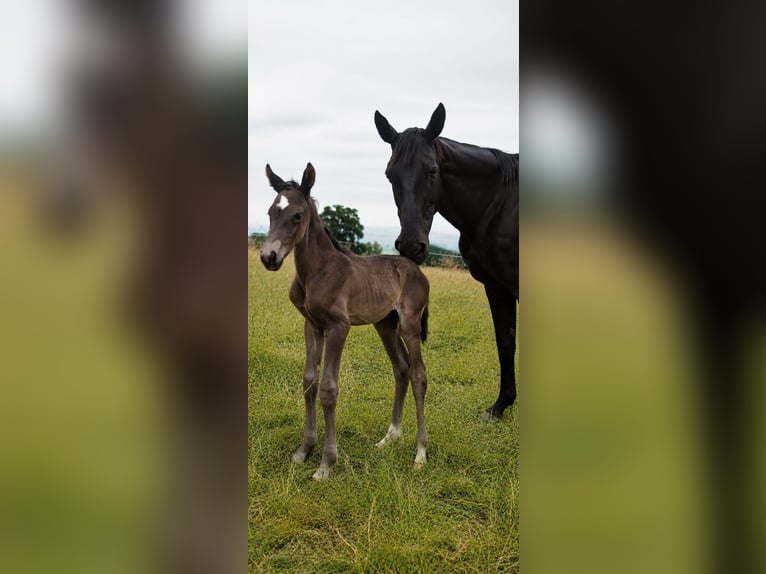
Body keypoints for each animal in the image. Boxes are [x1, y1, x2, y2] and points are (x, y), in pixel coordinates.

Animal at [260, 163, 431, 480]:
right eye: (270, 212)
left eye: (297, 215)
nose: (269, 257)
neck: (317, 271)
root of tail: (417, 270)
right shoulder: (312, 325)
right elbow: (309, 382)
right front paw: (303, 451)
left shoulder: (339, 327)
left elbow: (329, 388)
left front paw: (326, 464)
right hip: (385, 325)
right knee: (401, 369)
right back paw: (390, 437)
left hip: (409, 324)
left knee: (418, 375)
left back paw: (420, 453)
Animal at [374, 103, 519, 419]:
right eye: (390, 175)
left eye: (433, 169)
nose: (411, 245)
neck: (500, 204)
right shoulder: (497, 287)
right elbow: (505, 342)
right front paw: (500, 406)